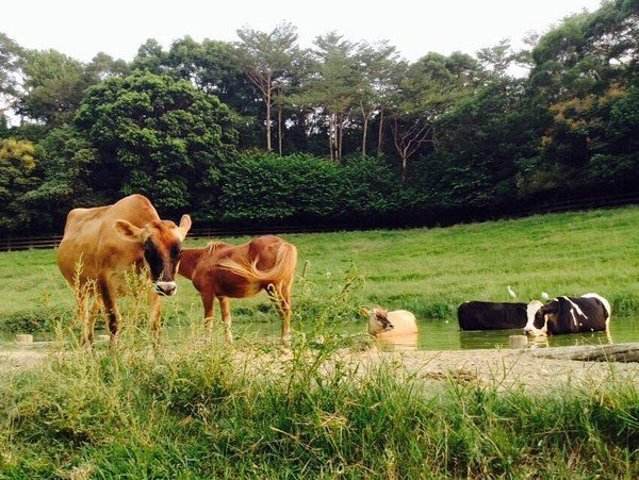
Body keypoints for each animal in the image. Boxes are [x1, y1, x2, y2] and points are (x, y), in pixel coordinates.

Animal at [56, 193, 191, 344]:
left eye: (180, 251)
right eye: (147, 249)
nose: (167, 288)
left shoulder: (153, 286)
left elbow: (154, 324)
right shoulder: (106, 281)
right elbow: (114, 322)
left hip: (95, 291)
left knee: (91, 316)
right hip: (79, 287)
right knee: (83, 316)